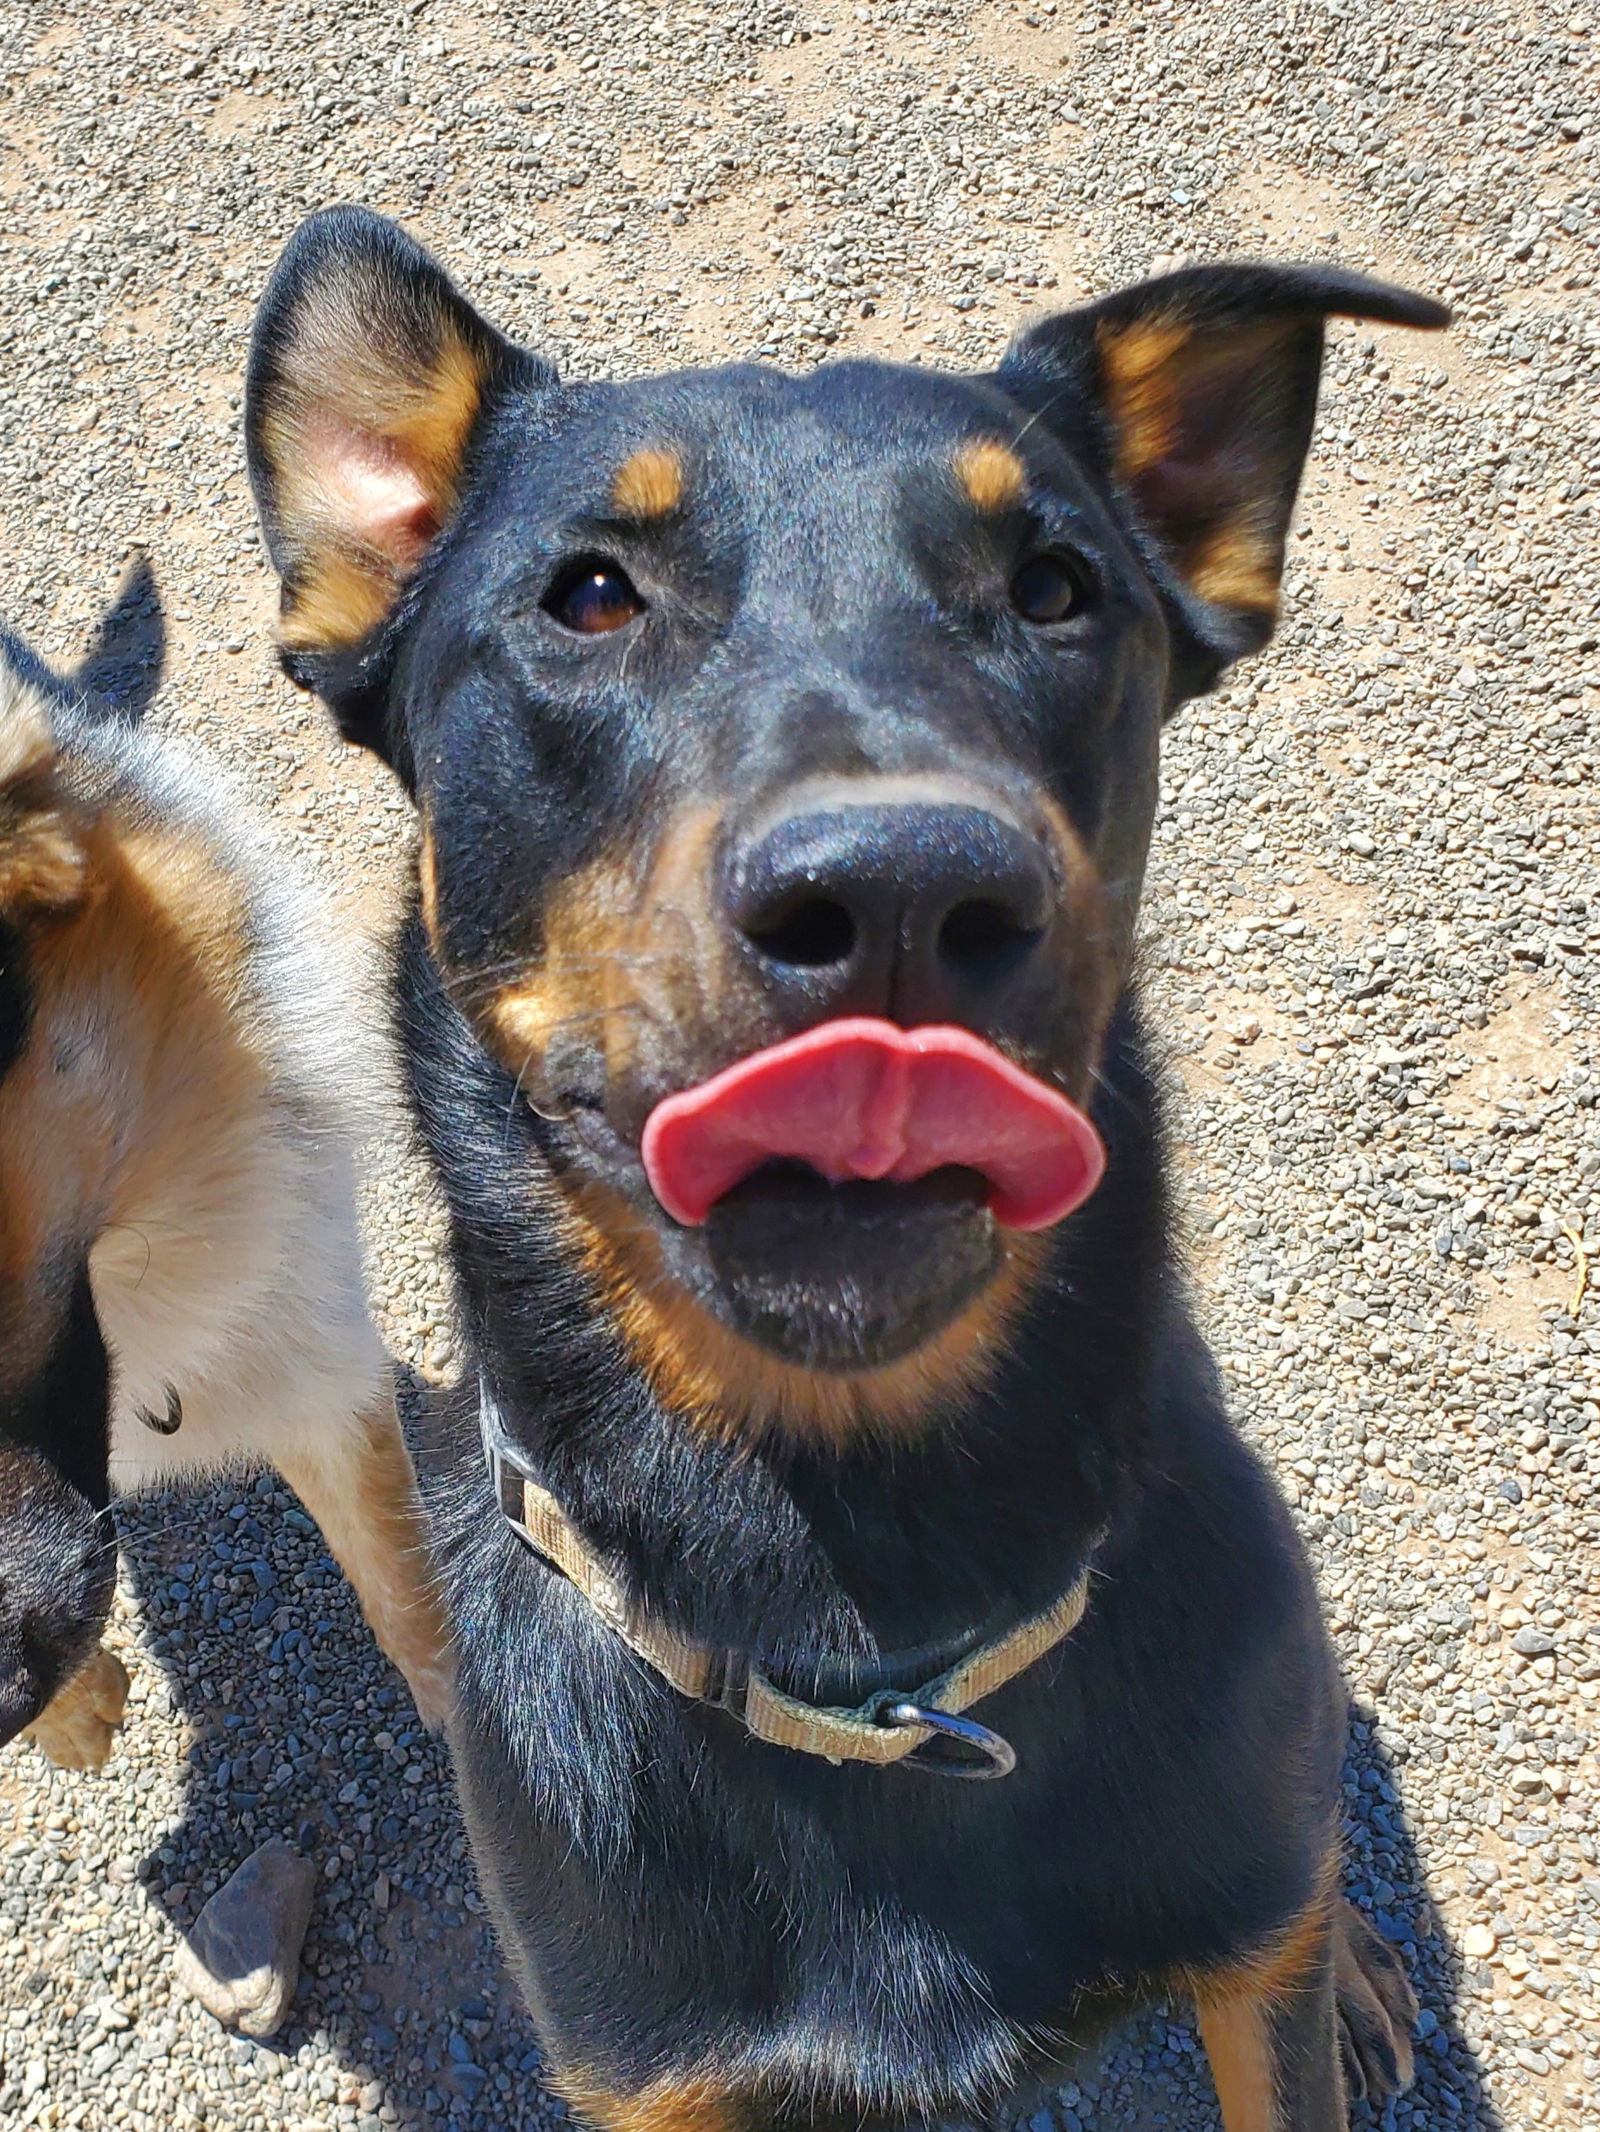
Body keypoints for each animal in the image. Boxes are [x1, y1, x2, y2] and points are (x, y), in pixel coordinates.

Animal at [250, 212, 1450, 2132]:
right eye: (589, 595)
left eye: (1057, 589)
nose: (901, 888)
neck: (867, 1600)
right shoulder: (658, 2073)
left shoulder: (1240, 1910)